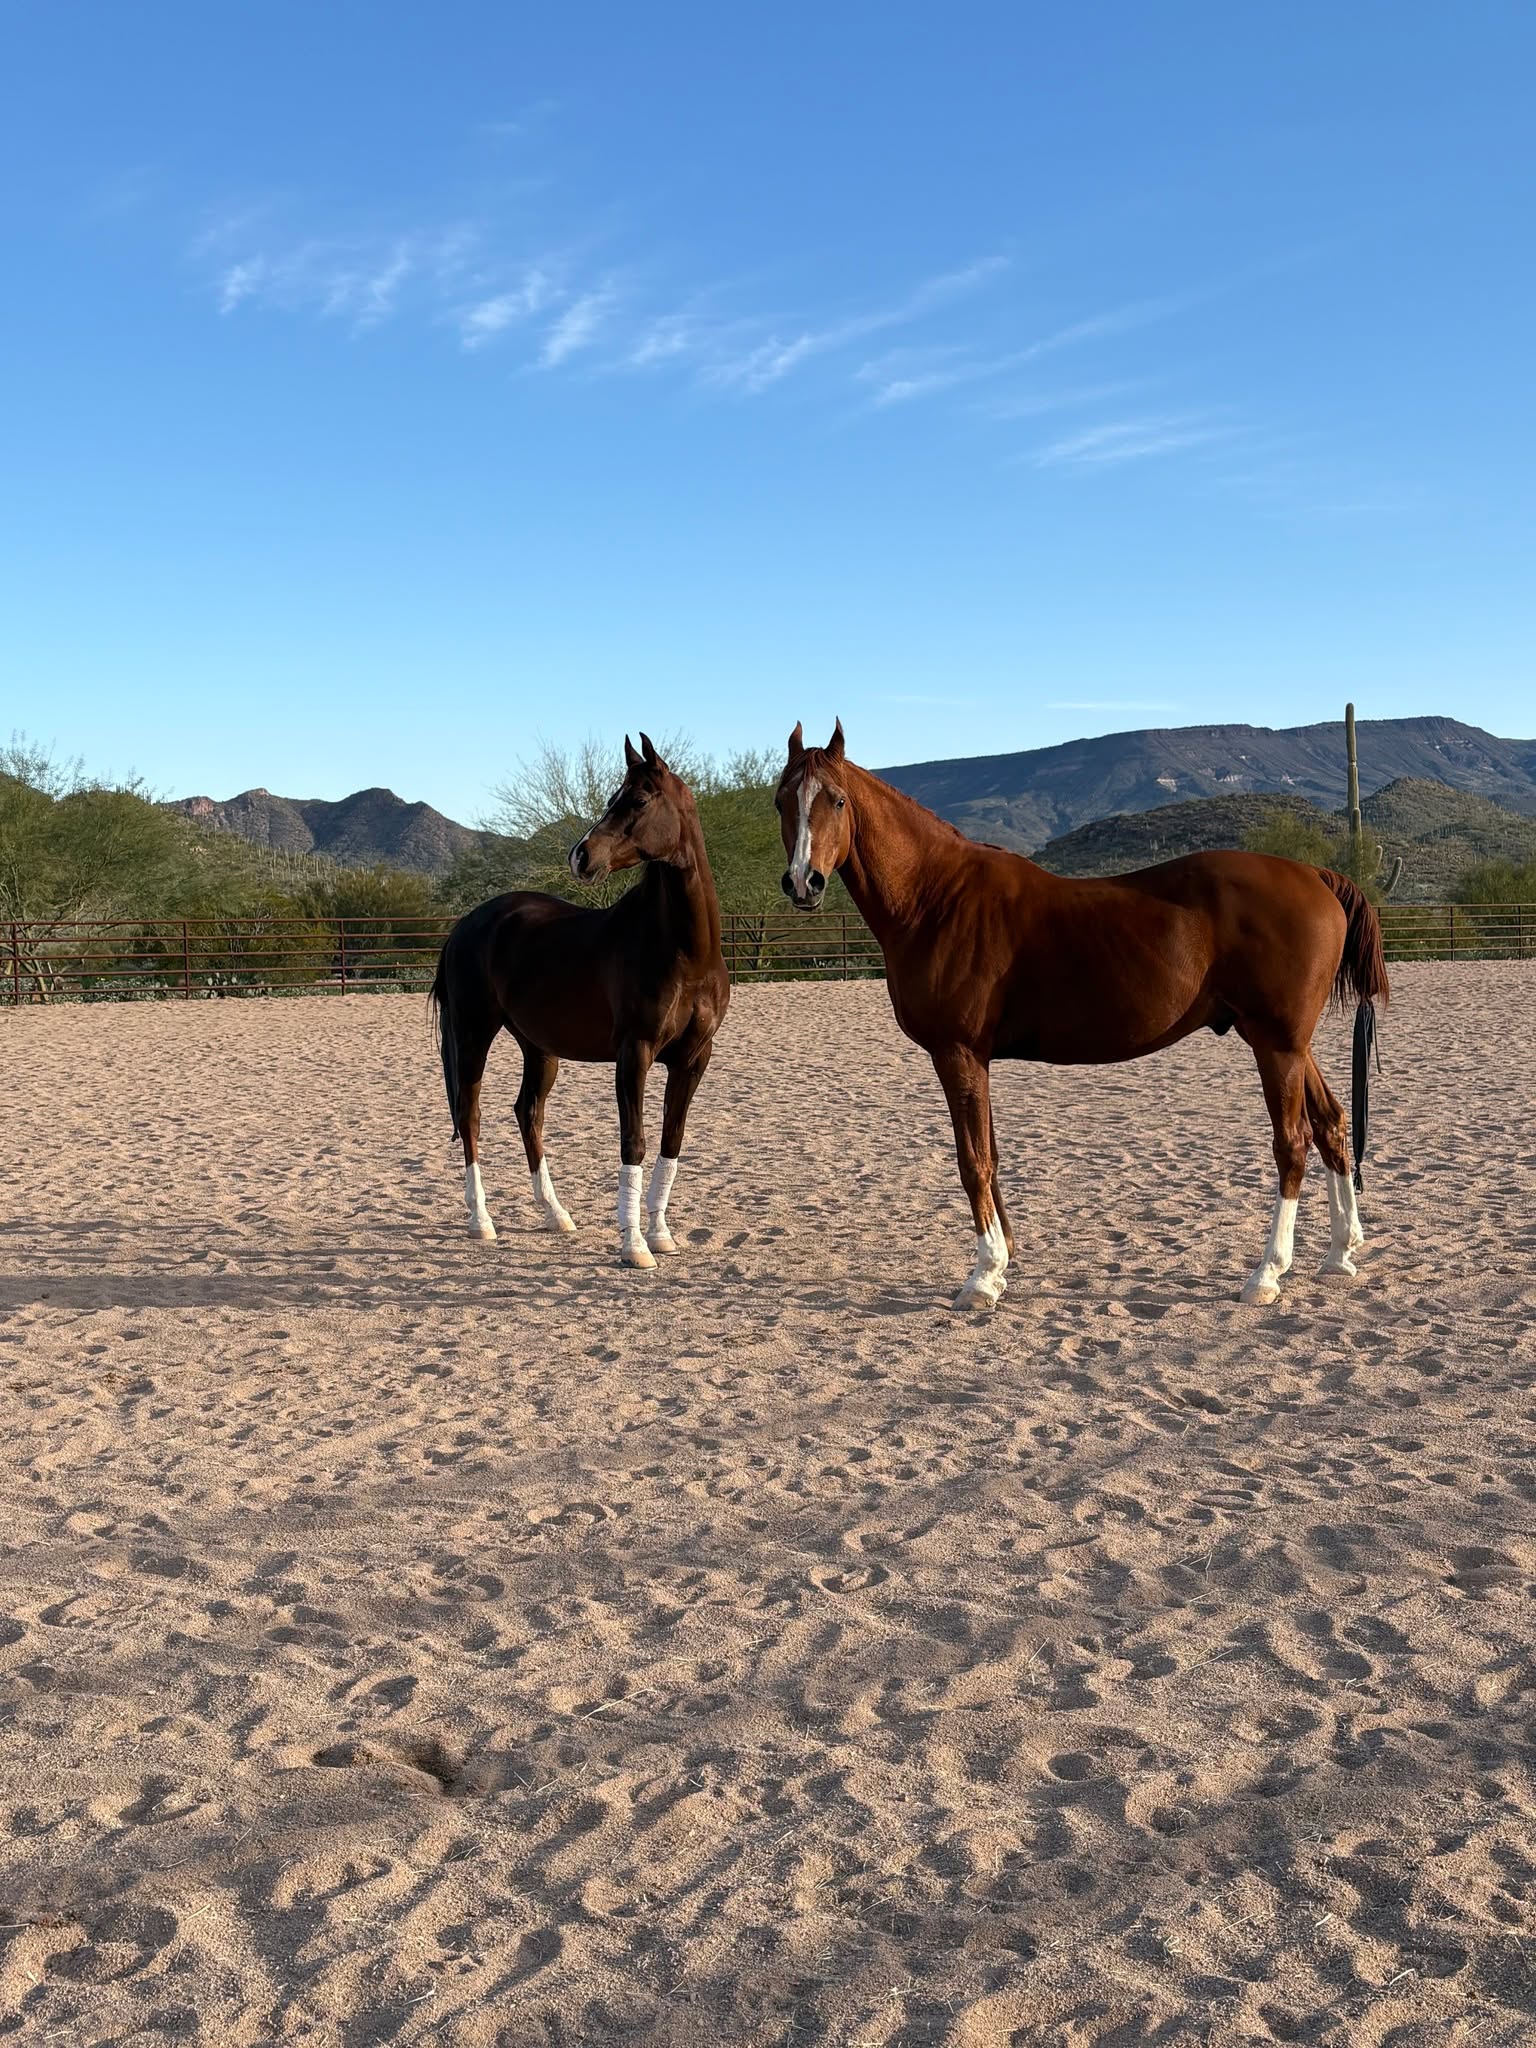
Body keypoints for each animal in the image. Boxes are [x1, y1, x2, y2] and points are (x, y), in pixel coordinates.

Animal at [431, 735, 728, 1268]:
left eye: (638, 800)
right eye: (613, 797)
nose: (580, 856)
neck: (685, 951)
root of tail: (467, 923)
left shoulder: (695, 1058)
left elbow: (671, 1142)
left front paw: (660, 1234)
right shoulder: (635, 1053)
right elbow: (634, 1142)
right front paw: (634, 1246)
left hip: (538, 1047)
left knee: (527, 1112)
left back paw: (556, 1214)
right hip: (473, 1034)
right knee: (470, 1116)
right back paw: (481, 1221)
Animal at [776, 720, 1388, 1311]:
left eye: (836, 800)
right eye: (782, 800)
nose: (803, 882)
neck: (936, 899)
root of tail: (1315, 876)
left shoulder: (957, 1053)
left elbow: (973, 1162)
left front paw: (982, 1277)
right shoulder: (978, 1060)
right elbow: (990, 1155)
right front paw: (1001, 1265)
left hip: (1276, 1045)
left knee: (1292, 1143)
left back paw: (1266, 1274)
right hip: (1287, 1043)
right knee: (1332, 1124)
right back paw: (1340, 1252)